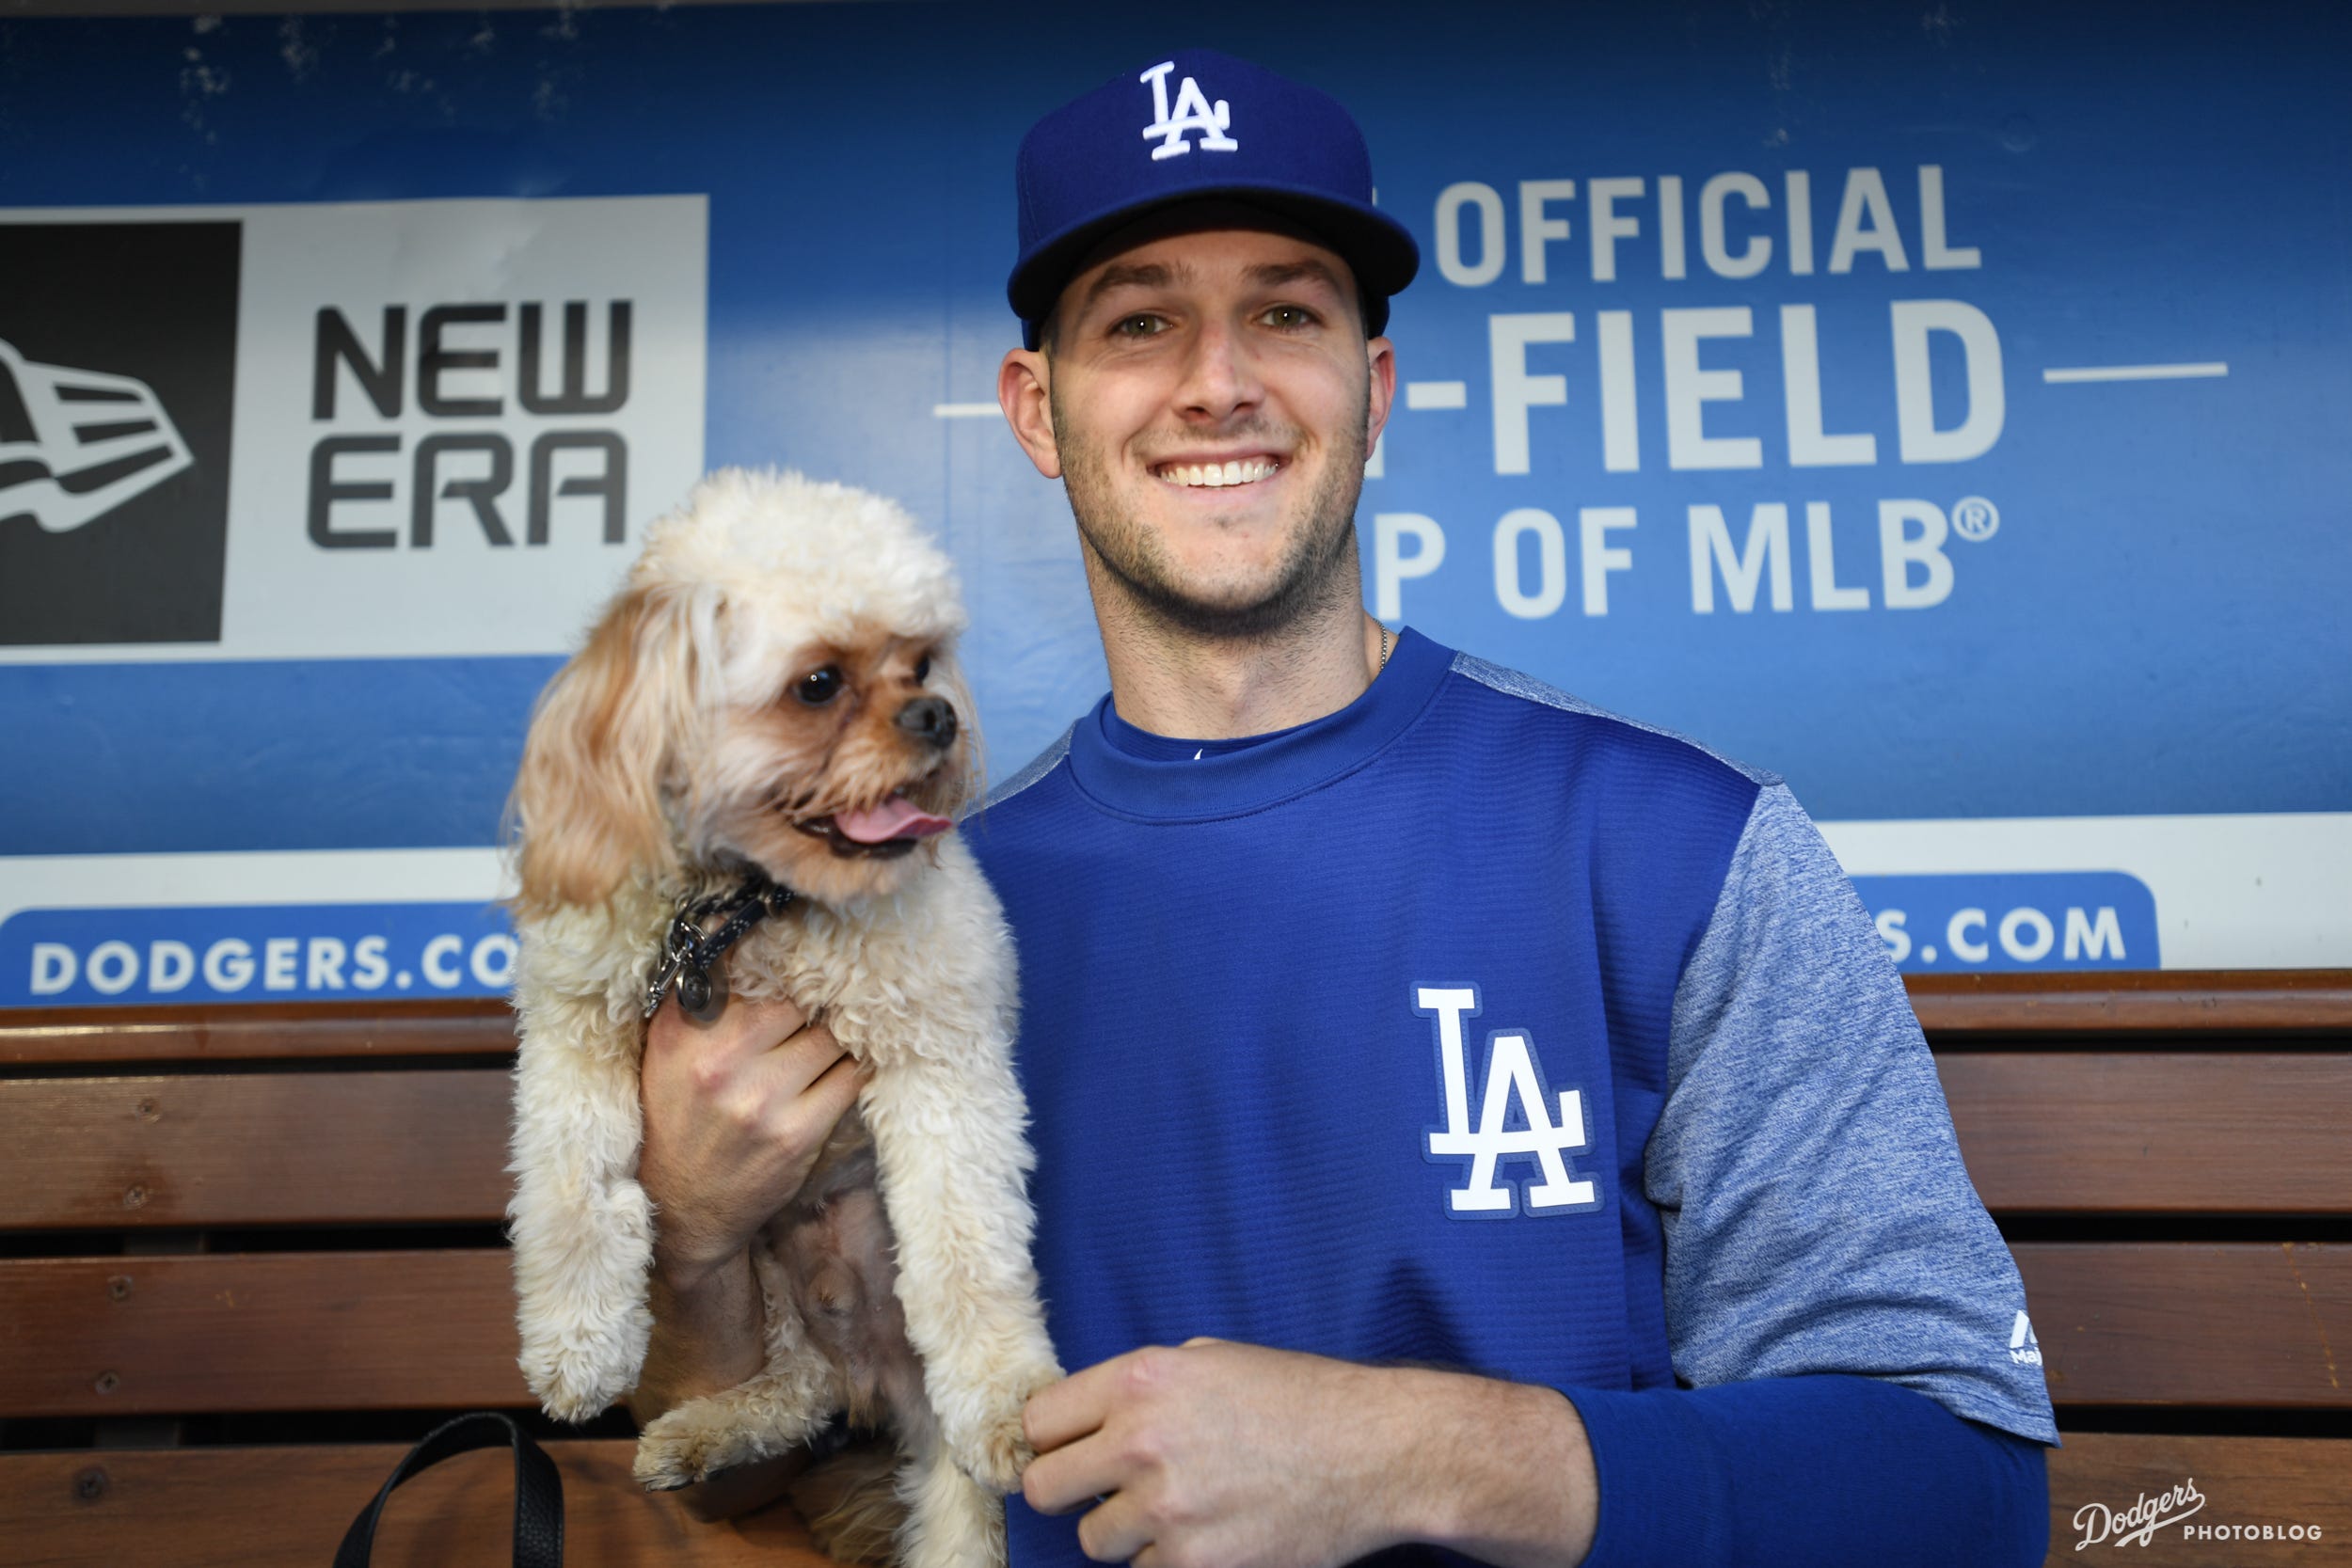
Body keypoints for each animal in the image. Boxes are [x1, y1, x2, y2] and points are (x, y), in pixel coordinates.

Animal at [515, 465, 1068, 1568]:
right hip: (768, 1273)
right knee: (797, 1381)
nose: (939, 715)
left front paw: (1009, 1400)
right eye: (817, 683)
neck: (743, 909)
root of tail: (876, 1381)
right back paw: (699, 1428)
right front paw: (575, 1344)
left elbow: (969, 1253)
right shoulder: (574, 1022)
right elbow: (571, 1192)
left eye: (922, 660)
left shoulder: (941, 1062)